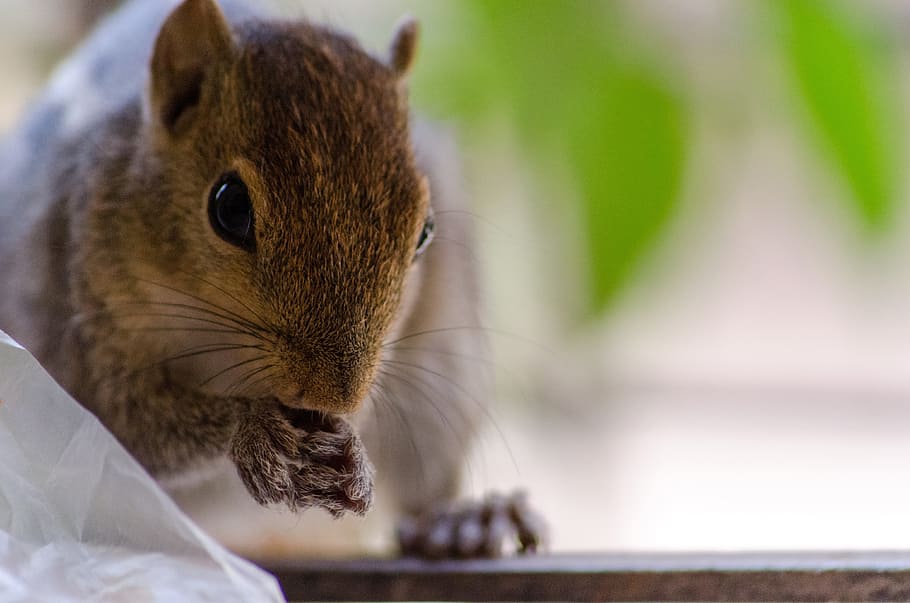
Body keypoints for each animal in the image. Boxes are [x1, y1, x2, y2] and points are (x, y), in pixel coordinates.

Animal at [0, 0, 543, 558]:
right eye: (230, 207)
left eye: (426, 232)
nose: (334, 398)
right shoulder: (76, 314)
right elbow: (128, 422)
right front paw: (255, 429)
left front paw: (352, 450)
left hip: (443, 373)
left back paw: (461, 522)